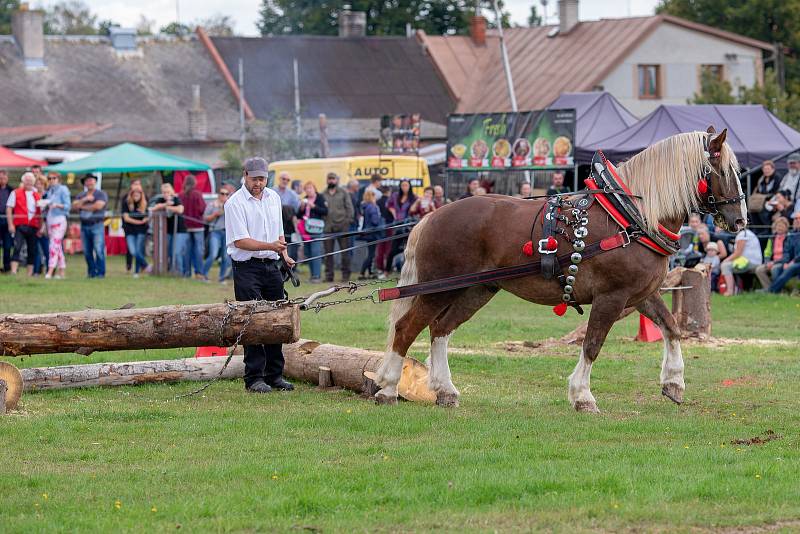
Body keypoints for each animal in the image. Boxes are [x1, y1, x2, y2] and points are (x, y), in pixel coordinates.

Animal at [378, 127, 748, 412]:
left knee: (440, 329)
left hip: (477, 289)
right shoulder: (612, 296)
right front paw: (582, 396)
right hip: (440, 287)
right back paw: (388, 388)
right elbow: (593, 343)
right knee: (406, 328)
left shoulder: (641, 294)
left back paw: (445, 390)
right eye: (725, 172)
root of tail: (431, 216)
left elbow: (671, 327)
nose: (741, 221)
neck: (631, 216)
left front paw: (673, 382)